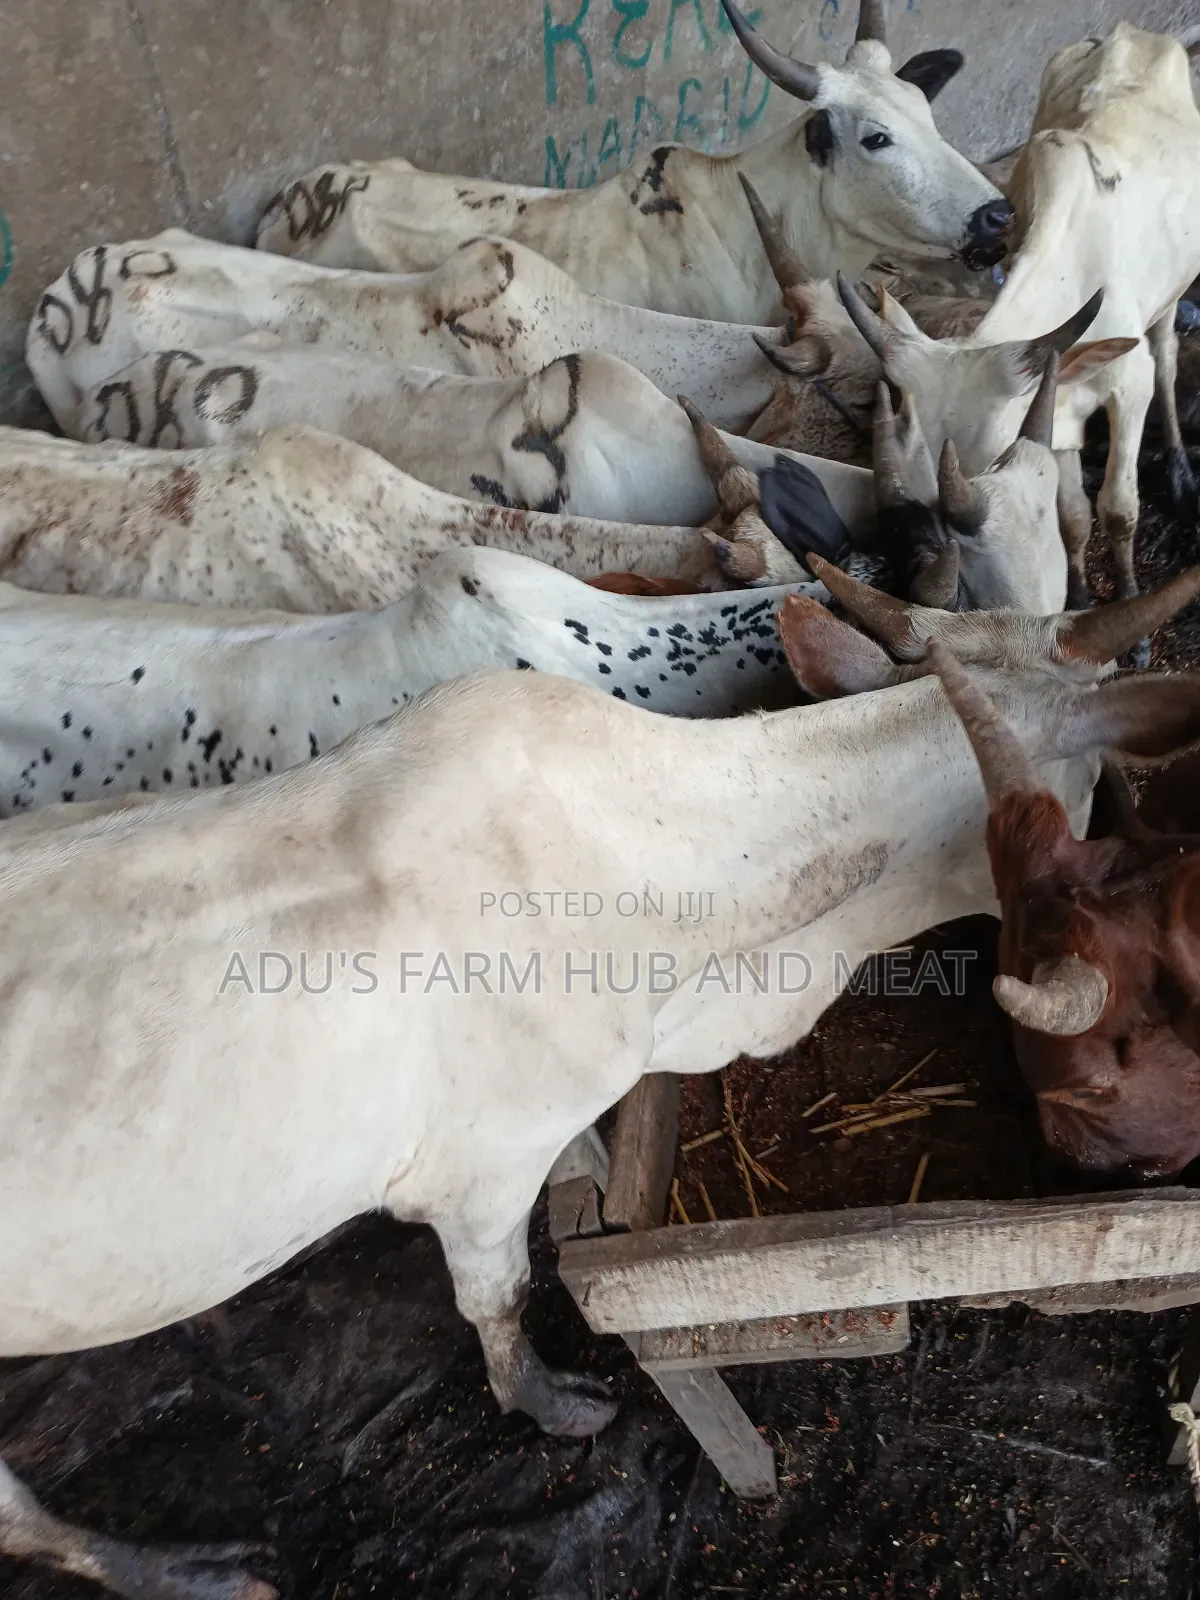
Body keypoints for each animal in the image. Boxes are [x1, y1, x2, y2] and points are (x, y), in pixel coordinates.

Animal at [827, 24, 1200, 614]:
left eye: (990, 464)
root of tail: (1132, 32)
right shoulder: (1058, 413)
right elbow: (1074, 518)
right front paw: (1080, 596)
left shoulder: (1127, 387)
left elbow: (1118, 507)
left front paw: (1127, 600)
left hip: (1171, 297)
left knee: (1165, 357)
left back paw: (1183, 474)